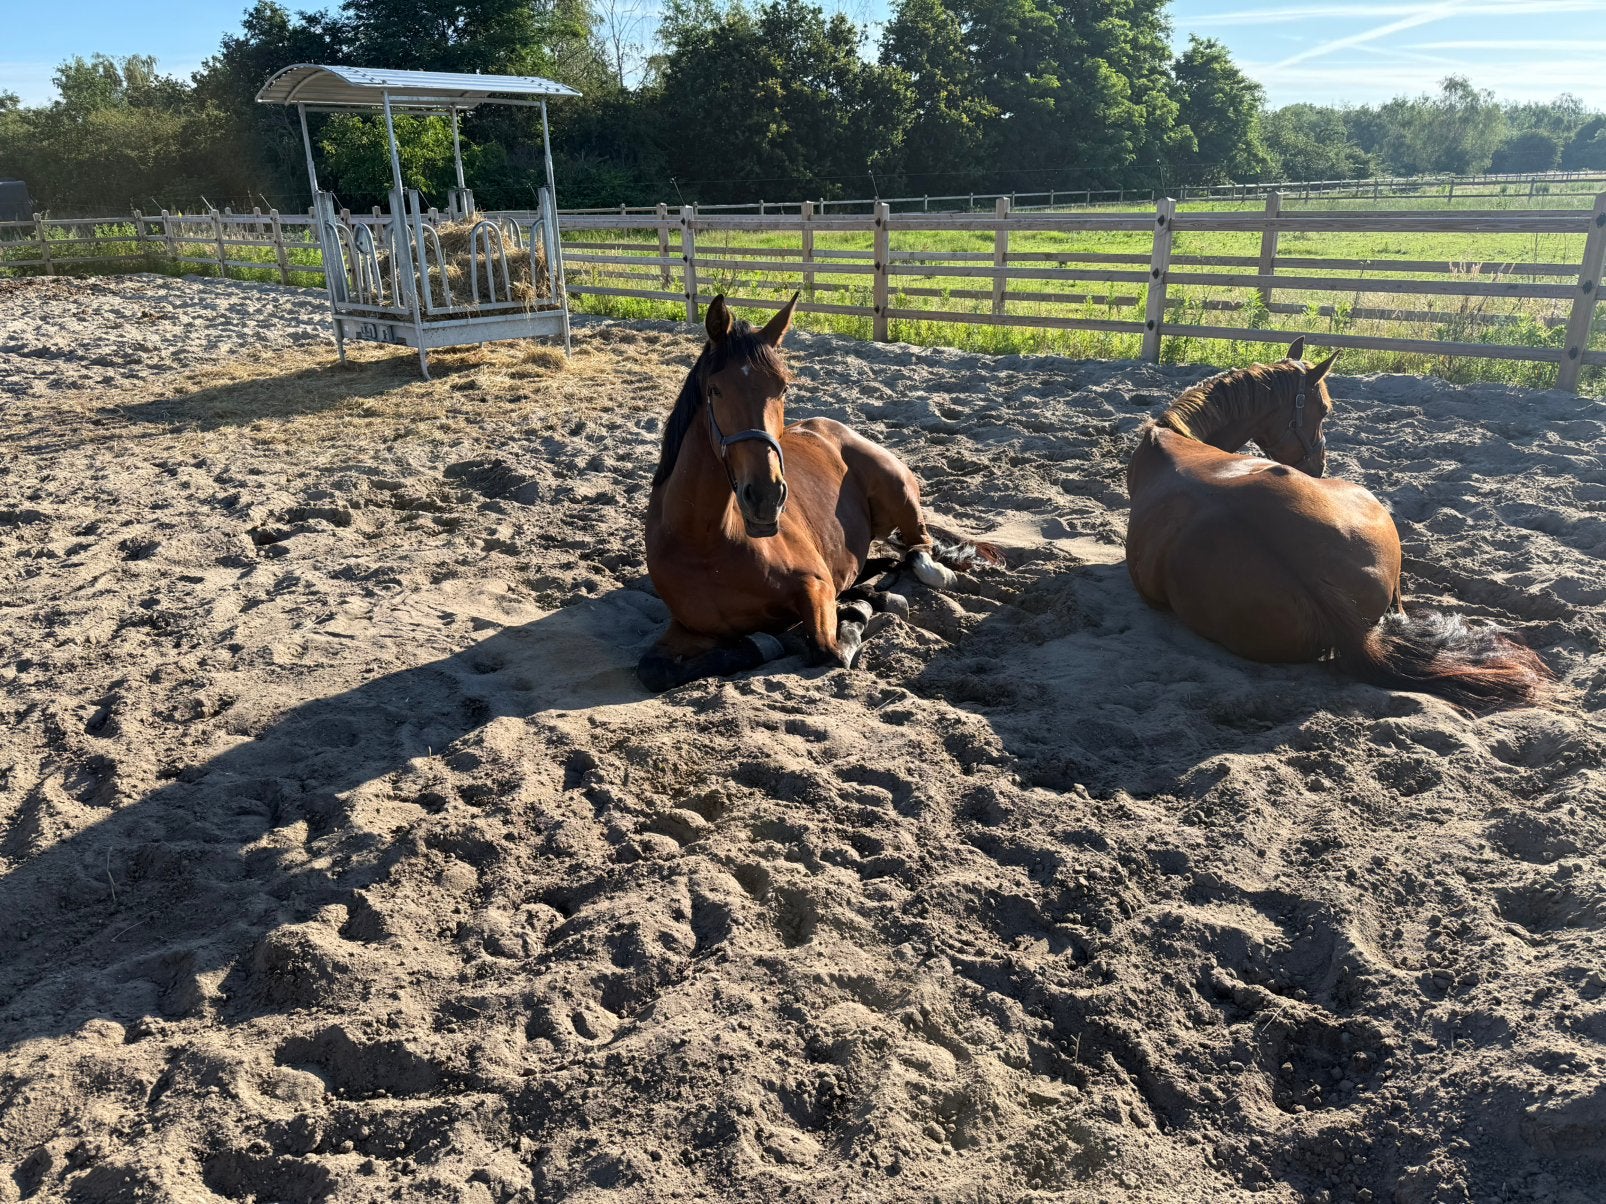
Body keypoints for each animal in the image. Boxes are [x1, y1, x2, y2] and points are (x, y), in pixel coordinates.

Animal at [639, 293, 1000, 692]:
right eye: (715, 390)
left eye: (782, 387)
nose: (765, 497)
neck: (703, 543)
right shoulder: (688, 628)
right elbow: (653, 670)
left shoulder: (815, 586)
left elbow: (829, 649)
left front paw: (863, 608)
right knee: (888, 561)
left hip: (900, 494)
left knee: (920, 549)